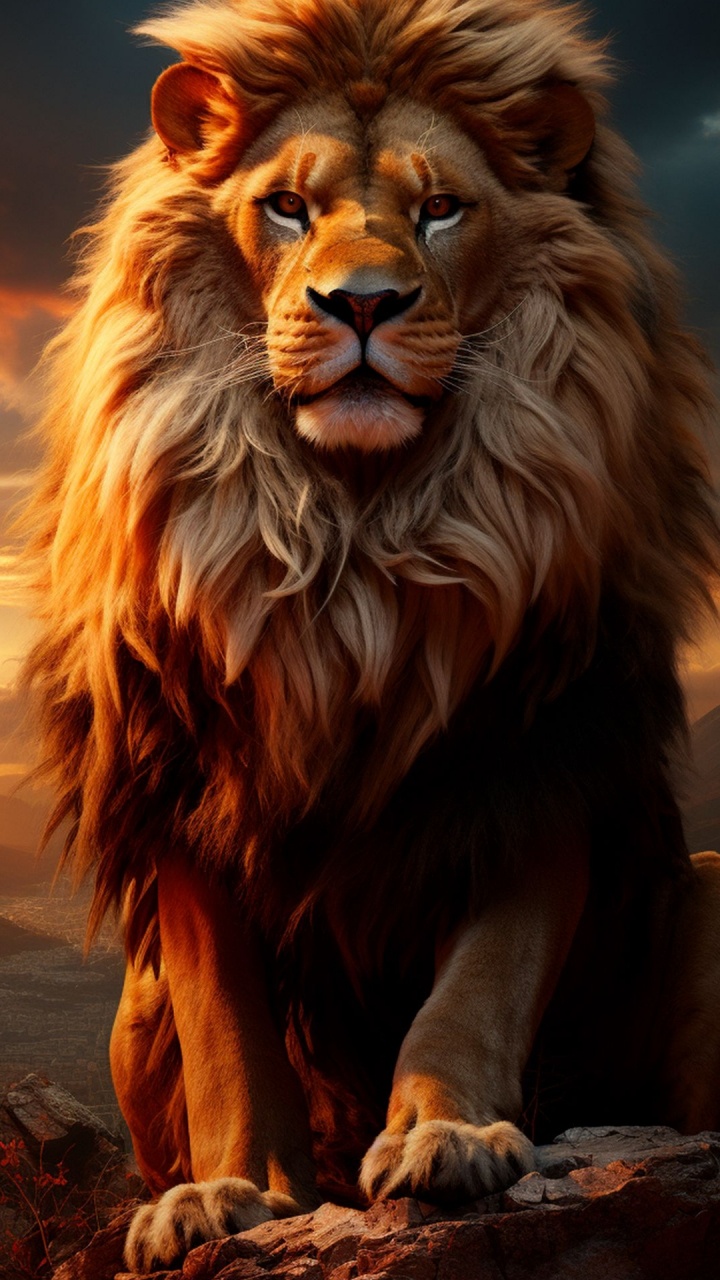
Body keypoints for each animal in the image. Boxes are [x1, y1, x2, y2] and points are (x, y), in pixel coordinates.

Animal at [21, 0, 720, 1271]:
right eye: (286, 208)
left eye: (440, 206)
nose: (361, 305)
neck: (355, 537)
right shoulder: (181, 781)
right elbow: (227, 1030)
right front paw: (227, 1194)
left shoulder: (537, 751)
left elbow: (475, 988)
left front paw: (452, 1137)